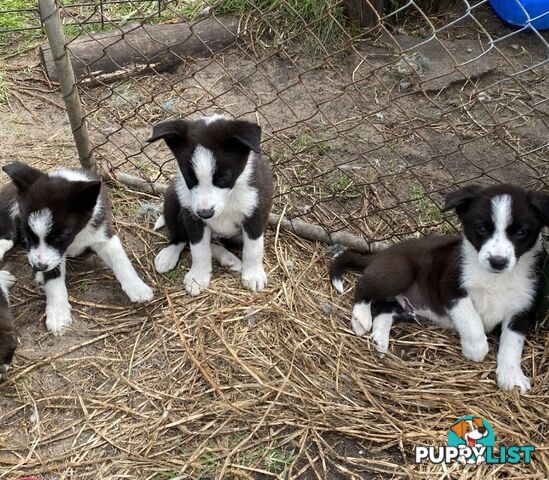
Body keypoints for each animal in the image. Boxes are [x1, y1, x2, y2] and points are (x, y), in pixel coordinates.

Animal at [1, 163, 154, 336]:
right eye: (28, 234)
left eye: (60, 237)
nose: (38, 267)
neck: (76, 236)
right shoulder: (53, 256)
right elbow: (53, 281)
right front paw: (58, 313)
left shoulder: (104, 234)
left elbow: (121, 261)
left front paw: (137, 287)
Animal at [148, 116, 272, 296]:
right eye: (190, 178)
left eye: (224, 178)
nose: (205, 213)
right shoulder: (192, 215)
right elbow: (198, 248)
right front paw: (198, 277)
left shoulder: (256, 211)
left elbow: (254, 247)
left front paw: (253, 274)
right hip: (172, 196)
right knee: (182, 236)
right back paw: (169, 255)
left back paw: (229, 259)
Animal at [330, 185, 548, 394]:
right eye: (481, 228)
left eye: (521, 232)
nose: (498, 261)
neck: (495, 278)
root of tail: (381, 253)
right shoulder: (451, 287)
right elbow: (471, 320)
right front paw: (476, 349)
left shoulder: (522, 307)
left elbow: (512, 343)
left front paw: (511, 376)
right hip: (399, 272)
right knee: (363, 287)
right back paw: (361, 319)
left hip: (412, 309)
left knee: (385, 309)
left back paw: (379, 338)